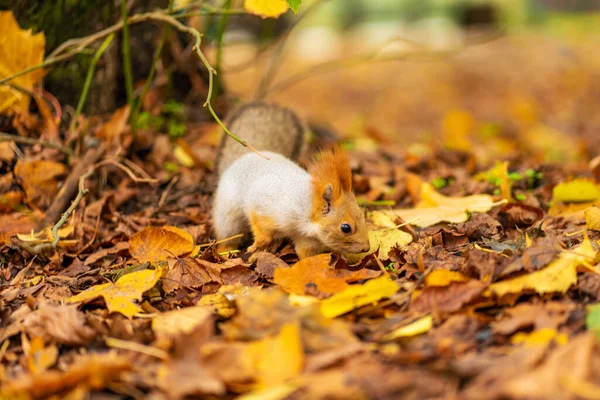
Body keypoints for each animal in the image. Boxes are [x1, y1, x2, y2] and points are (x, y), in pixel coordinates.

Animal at [211, 103, 370, 258]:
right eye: (346, 228)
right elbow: (260, 225)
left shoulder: (307, 240)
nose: (366, 248)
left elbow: (306, 255)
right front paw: (258, 244)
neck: (307, 213)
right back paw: (226, 250)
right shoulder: (265, 207)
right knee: (228, 233)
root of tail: (246, 156)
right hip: (228, 214)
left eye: (362, 215)